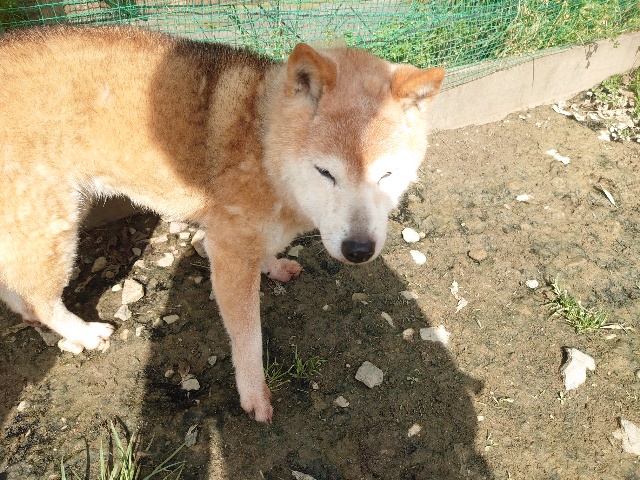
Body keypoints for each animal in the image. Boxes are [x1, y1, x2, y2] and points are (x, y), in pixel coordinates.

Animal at [0, 26, 444, 422]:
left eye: (386, 175)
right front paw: (254, 392)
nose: (359, 250)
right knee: (40, 296)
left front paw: (273, 265)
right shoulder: (229, 248)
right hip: (51, 223)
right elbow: (248, 337)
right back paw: (82, 333)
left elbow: (264, 252)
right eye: (325, 173)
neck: (263, 146)